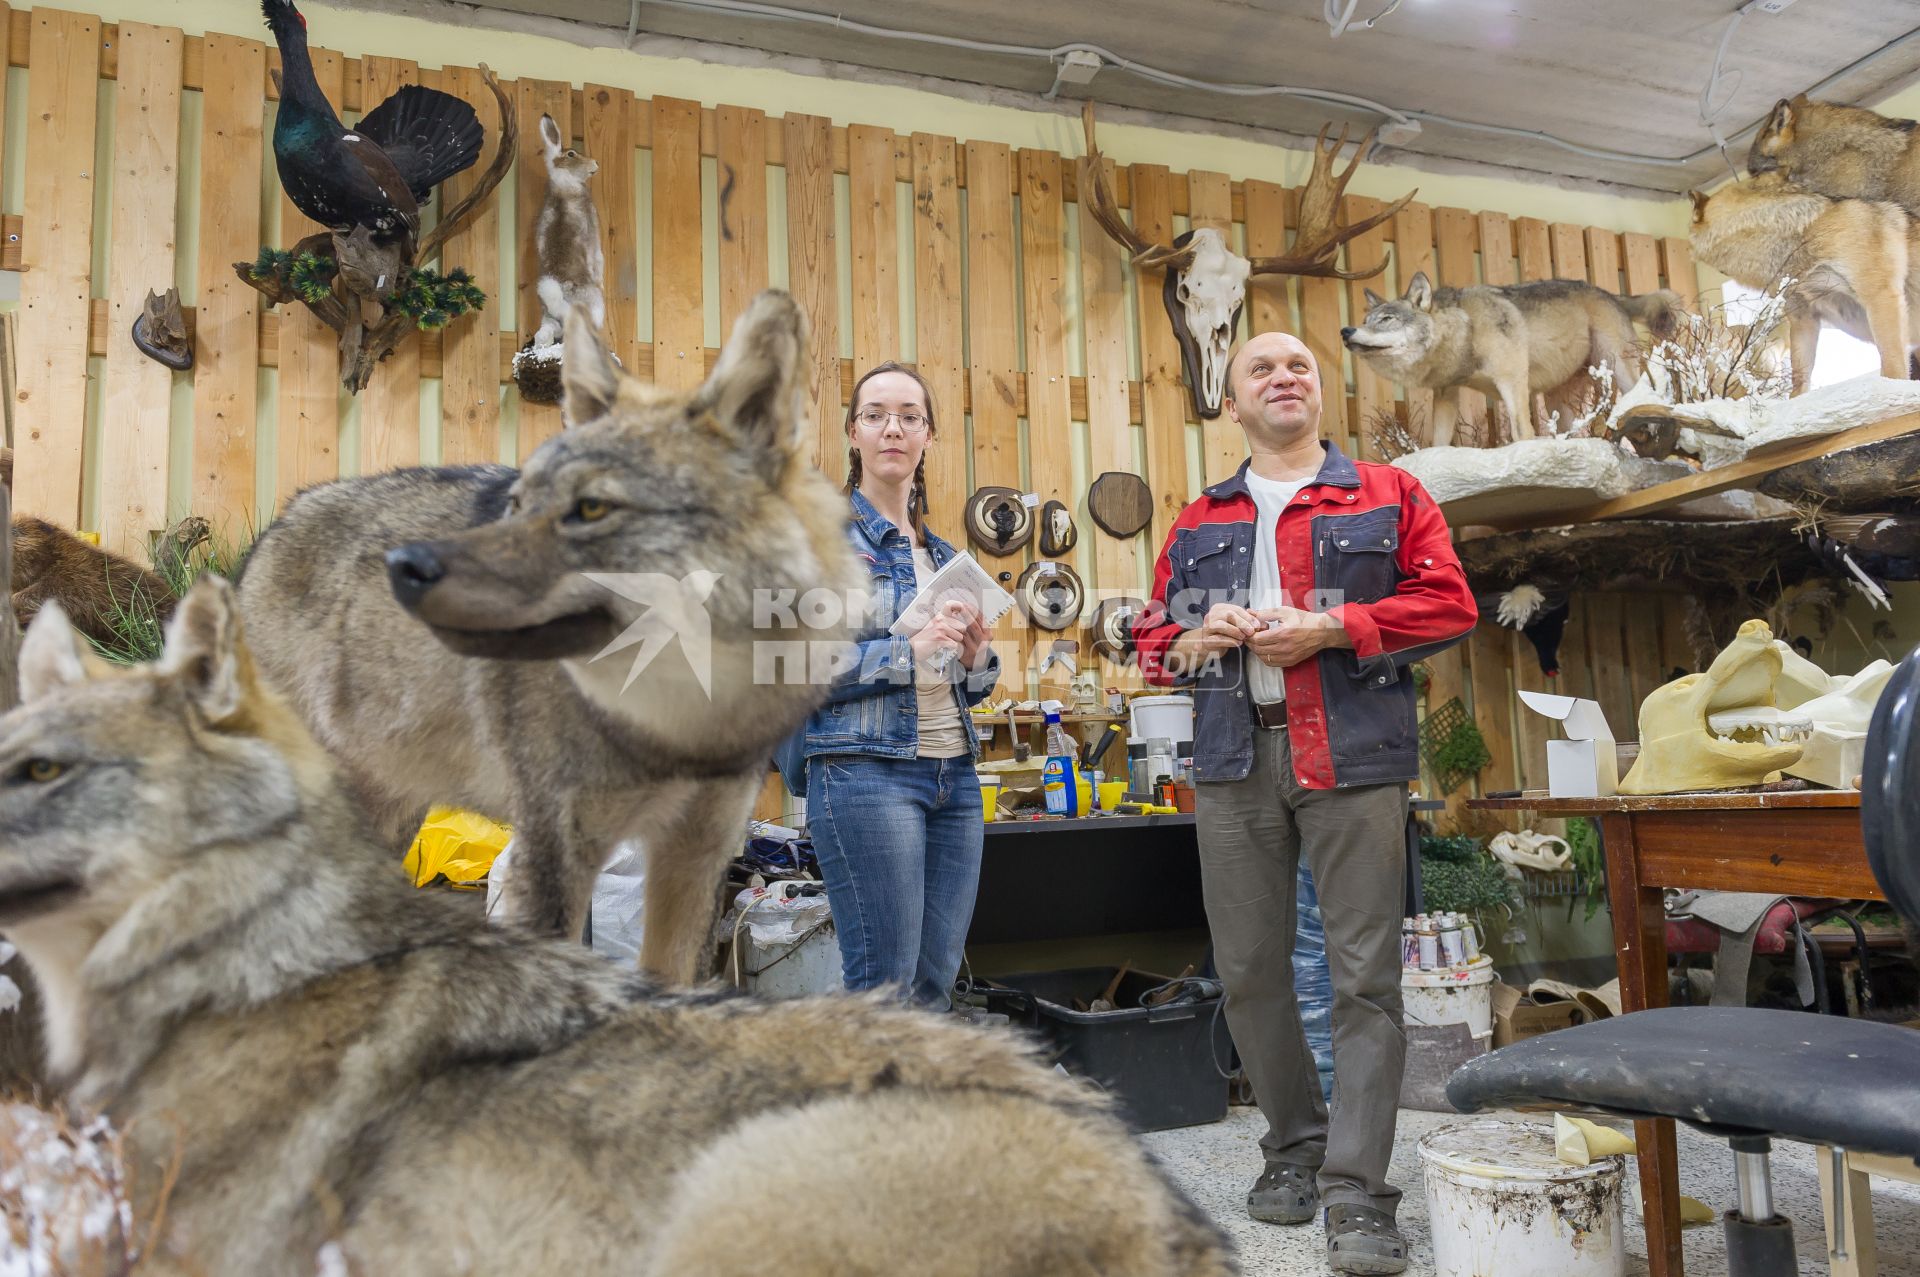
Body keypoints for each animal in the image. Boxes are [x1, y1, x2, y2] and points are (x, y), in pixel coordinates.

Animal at [236, 293, 860, 979]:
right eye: (516, 504)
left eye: (591, 509)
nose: (403, 567)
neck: (675, 726)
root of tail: (265, 539)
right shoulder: (552, 853)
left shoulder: (697, 856)